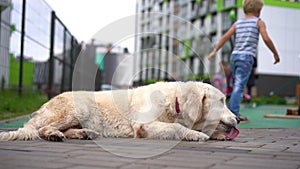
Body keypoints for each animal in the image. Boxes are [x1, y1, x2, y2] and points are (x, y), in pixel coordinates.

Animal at [0, 81, 239, 141]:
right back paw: (53, 134)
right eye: (222, 100)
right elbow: (176, 128)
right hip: (77, 108)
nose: (238, 118)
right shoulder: (144, 126)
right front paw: (196, 134)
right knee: (40, 129)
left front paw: (217, 135)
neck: (175, 102)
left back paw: (83, 133)